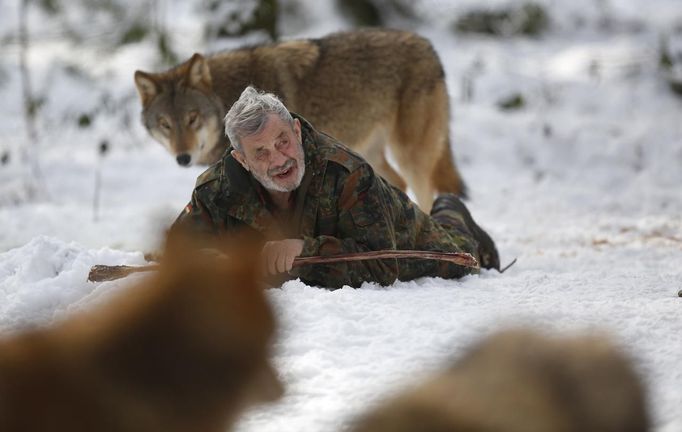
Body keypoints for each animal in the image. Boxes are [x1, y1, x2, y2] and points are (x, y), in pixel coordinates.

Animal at [133, 27, 464, 210]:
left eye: (192, 118)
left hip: (411, 156)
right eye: (165, 124)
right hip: (370, 154)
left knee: (425, 191)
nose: (183, 158)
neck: (226, 94)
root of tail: (428, 45)